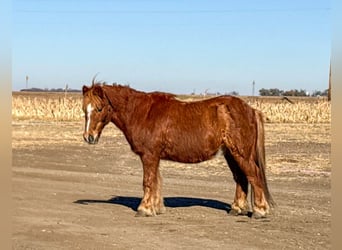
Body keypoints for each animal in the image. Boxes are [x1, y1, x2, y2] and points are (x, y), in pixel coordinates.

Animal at [81, 82, 274, 219]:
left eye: (99, 108)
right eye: (84, 110)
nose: (88, 137)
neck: (142, 113)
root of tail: (251, 110)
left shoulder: (149, 156)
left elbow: (148, 182)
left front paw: (144, 209)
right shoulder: (154, 156)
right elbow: (157, 181)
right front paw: (156, 208)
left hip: (240, 153)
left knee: (253, 176)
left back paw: (260, 211)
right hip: (230, 154)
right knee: (241, 178)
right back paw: (237, 208)